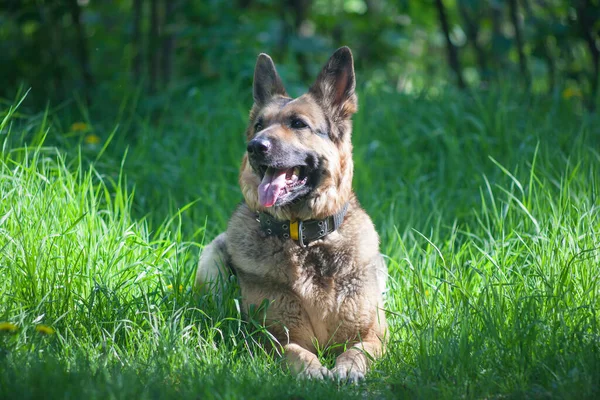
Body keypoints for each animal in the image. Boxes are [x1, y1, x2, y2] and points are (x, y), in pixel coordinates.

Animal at [195, 46, 386, 382]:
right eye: (259, 126)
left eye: (298, 124)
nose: (255, 146)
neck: (304, 238)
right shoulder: (269, 336)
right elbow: (294, 351)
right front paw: (312, 369)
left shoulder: (376, 333)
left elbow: (358, 350)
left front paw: (347, 368)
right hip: (211, 265)